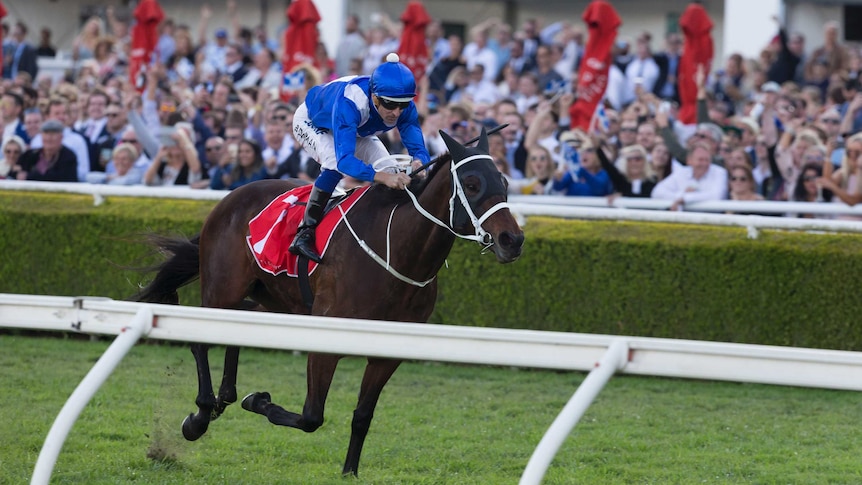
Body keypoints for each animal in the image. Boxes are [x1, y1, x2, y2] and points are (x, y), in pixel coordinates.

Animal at [135, 129, 528, 472]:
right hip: (224, 288)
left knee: (239, 325)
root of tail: (229, 198)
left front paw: (349, 471)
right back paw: (200, 417)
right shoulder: (326, 337)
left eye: (505, 182)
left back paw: (225, 396)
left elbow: (362, 416)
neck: (398, 251)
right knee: (200, 340)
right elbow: (312, 416)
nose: (512, 240)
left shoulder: (389, 351)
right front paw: (257, 400)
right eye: (473, 185)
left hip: (272, 296)